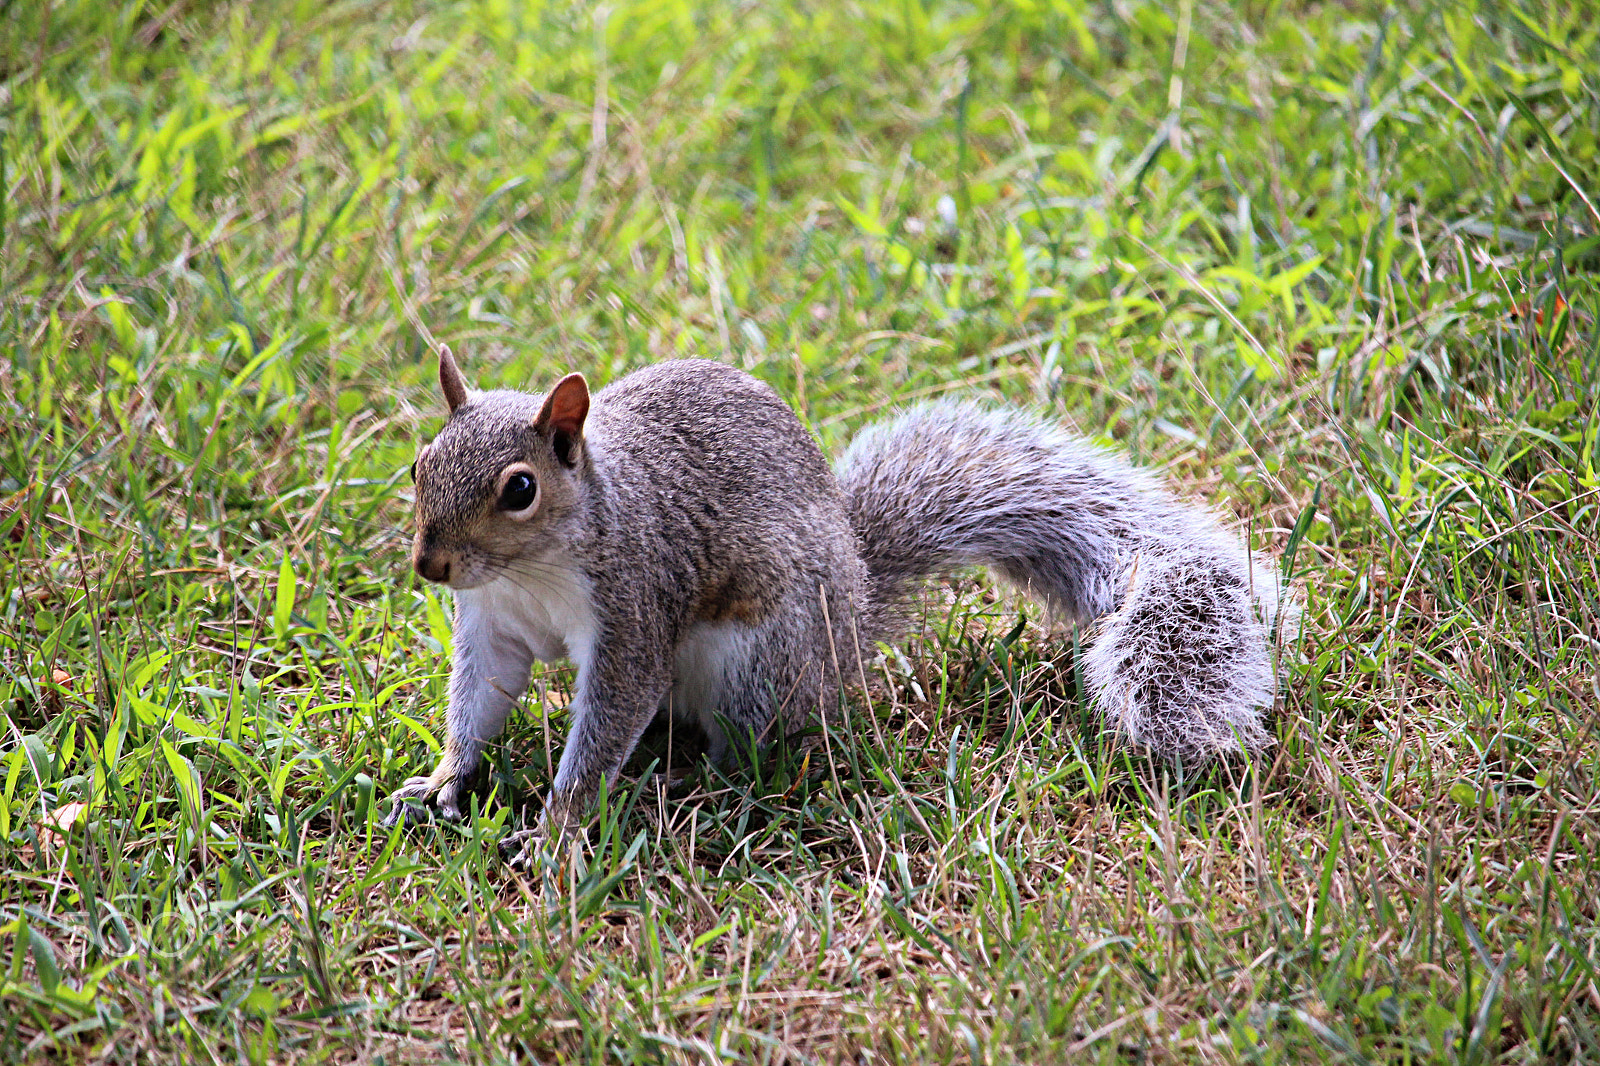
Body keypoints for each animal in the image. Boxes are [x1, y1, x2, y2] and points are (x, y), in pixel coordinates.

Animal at [380, 347, 1292, 845]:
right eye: (420, 463)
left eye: (520, 489)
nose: (429, 565)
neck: (528, 573)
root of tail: (850, 626)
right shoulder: (493, 626)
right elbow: (481, 697)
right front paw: (444, 780)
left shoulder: (636, 602)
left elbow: (612, 708)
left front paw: (559, 826)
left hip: (759, 656)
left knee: (749, 748)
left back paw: (690, 786)